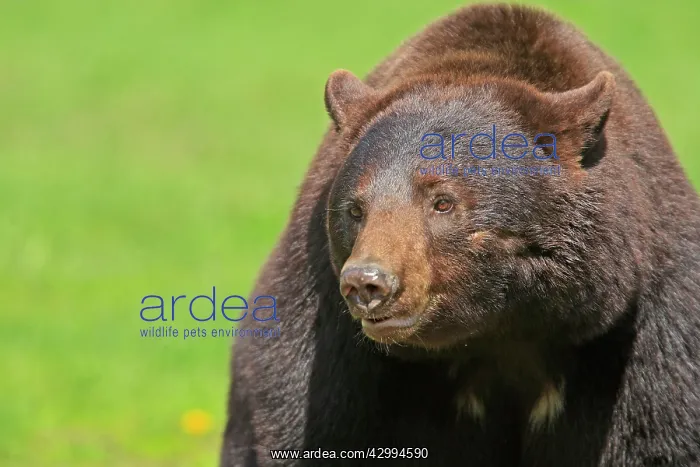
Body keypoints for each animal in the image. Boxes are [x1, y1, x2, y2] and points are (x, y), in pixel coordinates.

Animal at [220, 4, 700, 466]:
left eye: (442, 201)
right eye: (355, 209)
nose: (367, 283)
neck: (503, 331)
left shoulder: (640, 335)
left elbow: (656, 435)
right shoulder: (326, 340)